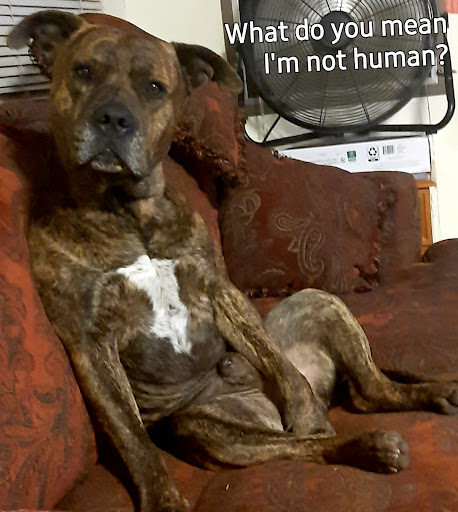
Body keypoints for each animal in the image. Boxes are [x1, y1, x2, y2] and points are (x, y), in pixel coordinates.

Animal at [8, 10, 458, 512]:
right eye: (82, 71)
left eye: (154, 88)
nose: (113, 118)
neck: (129, 211)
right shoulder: (89, 342)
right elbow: (133, 439)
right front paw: (163, 499)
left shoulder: (220, 292)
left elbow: (283, 370)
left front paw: (303, 409)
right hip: (209, 430)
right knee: (315, 437)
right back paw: (371, 447)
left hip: (318, 301)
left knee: (367, 389)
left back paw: (431, 393)